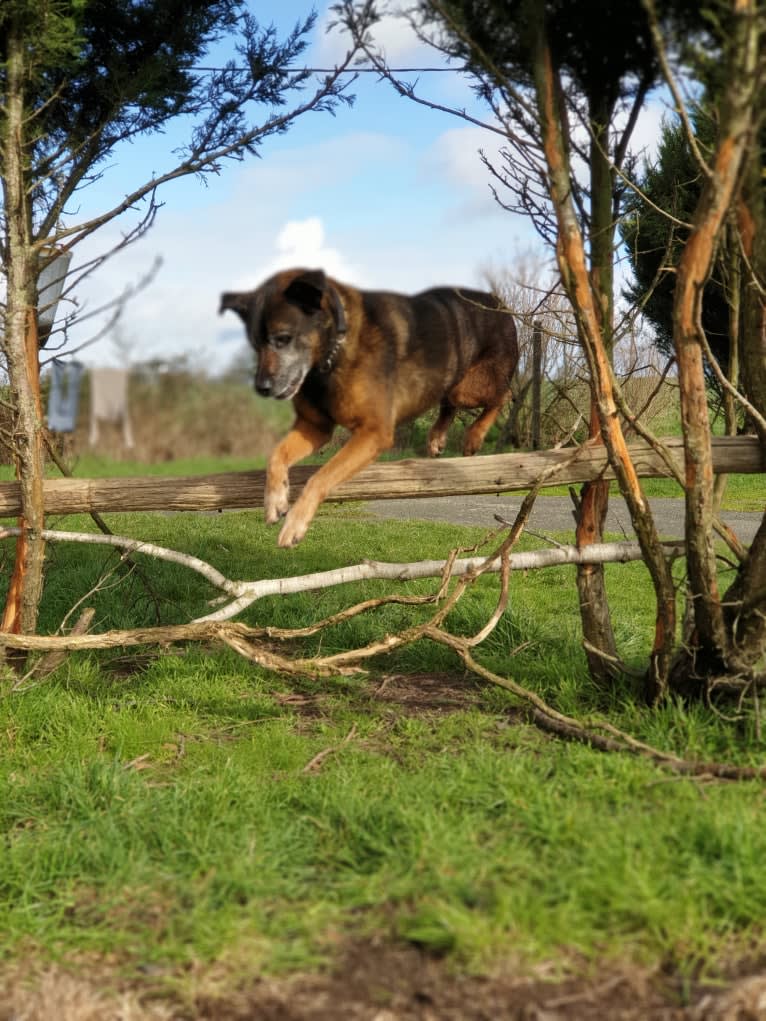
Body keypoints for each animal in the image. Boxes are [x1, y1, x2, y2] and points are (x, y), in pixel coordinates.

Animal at [221, 267, 522, 547]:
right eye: (255, 344)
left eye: (282, 338)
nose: (261, 388)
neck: (333, 353)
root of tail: (497, 301)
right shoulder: (315, 427)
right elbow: (276, 455)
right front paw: (275, 499)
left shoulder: (373, 433)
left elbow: (319, 477)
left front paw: (295, 524)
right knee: (449, 401)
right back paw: (437, 437)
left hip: (470, 387)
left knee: (503, 395)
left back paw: (475, 435)